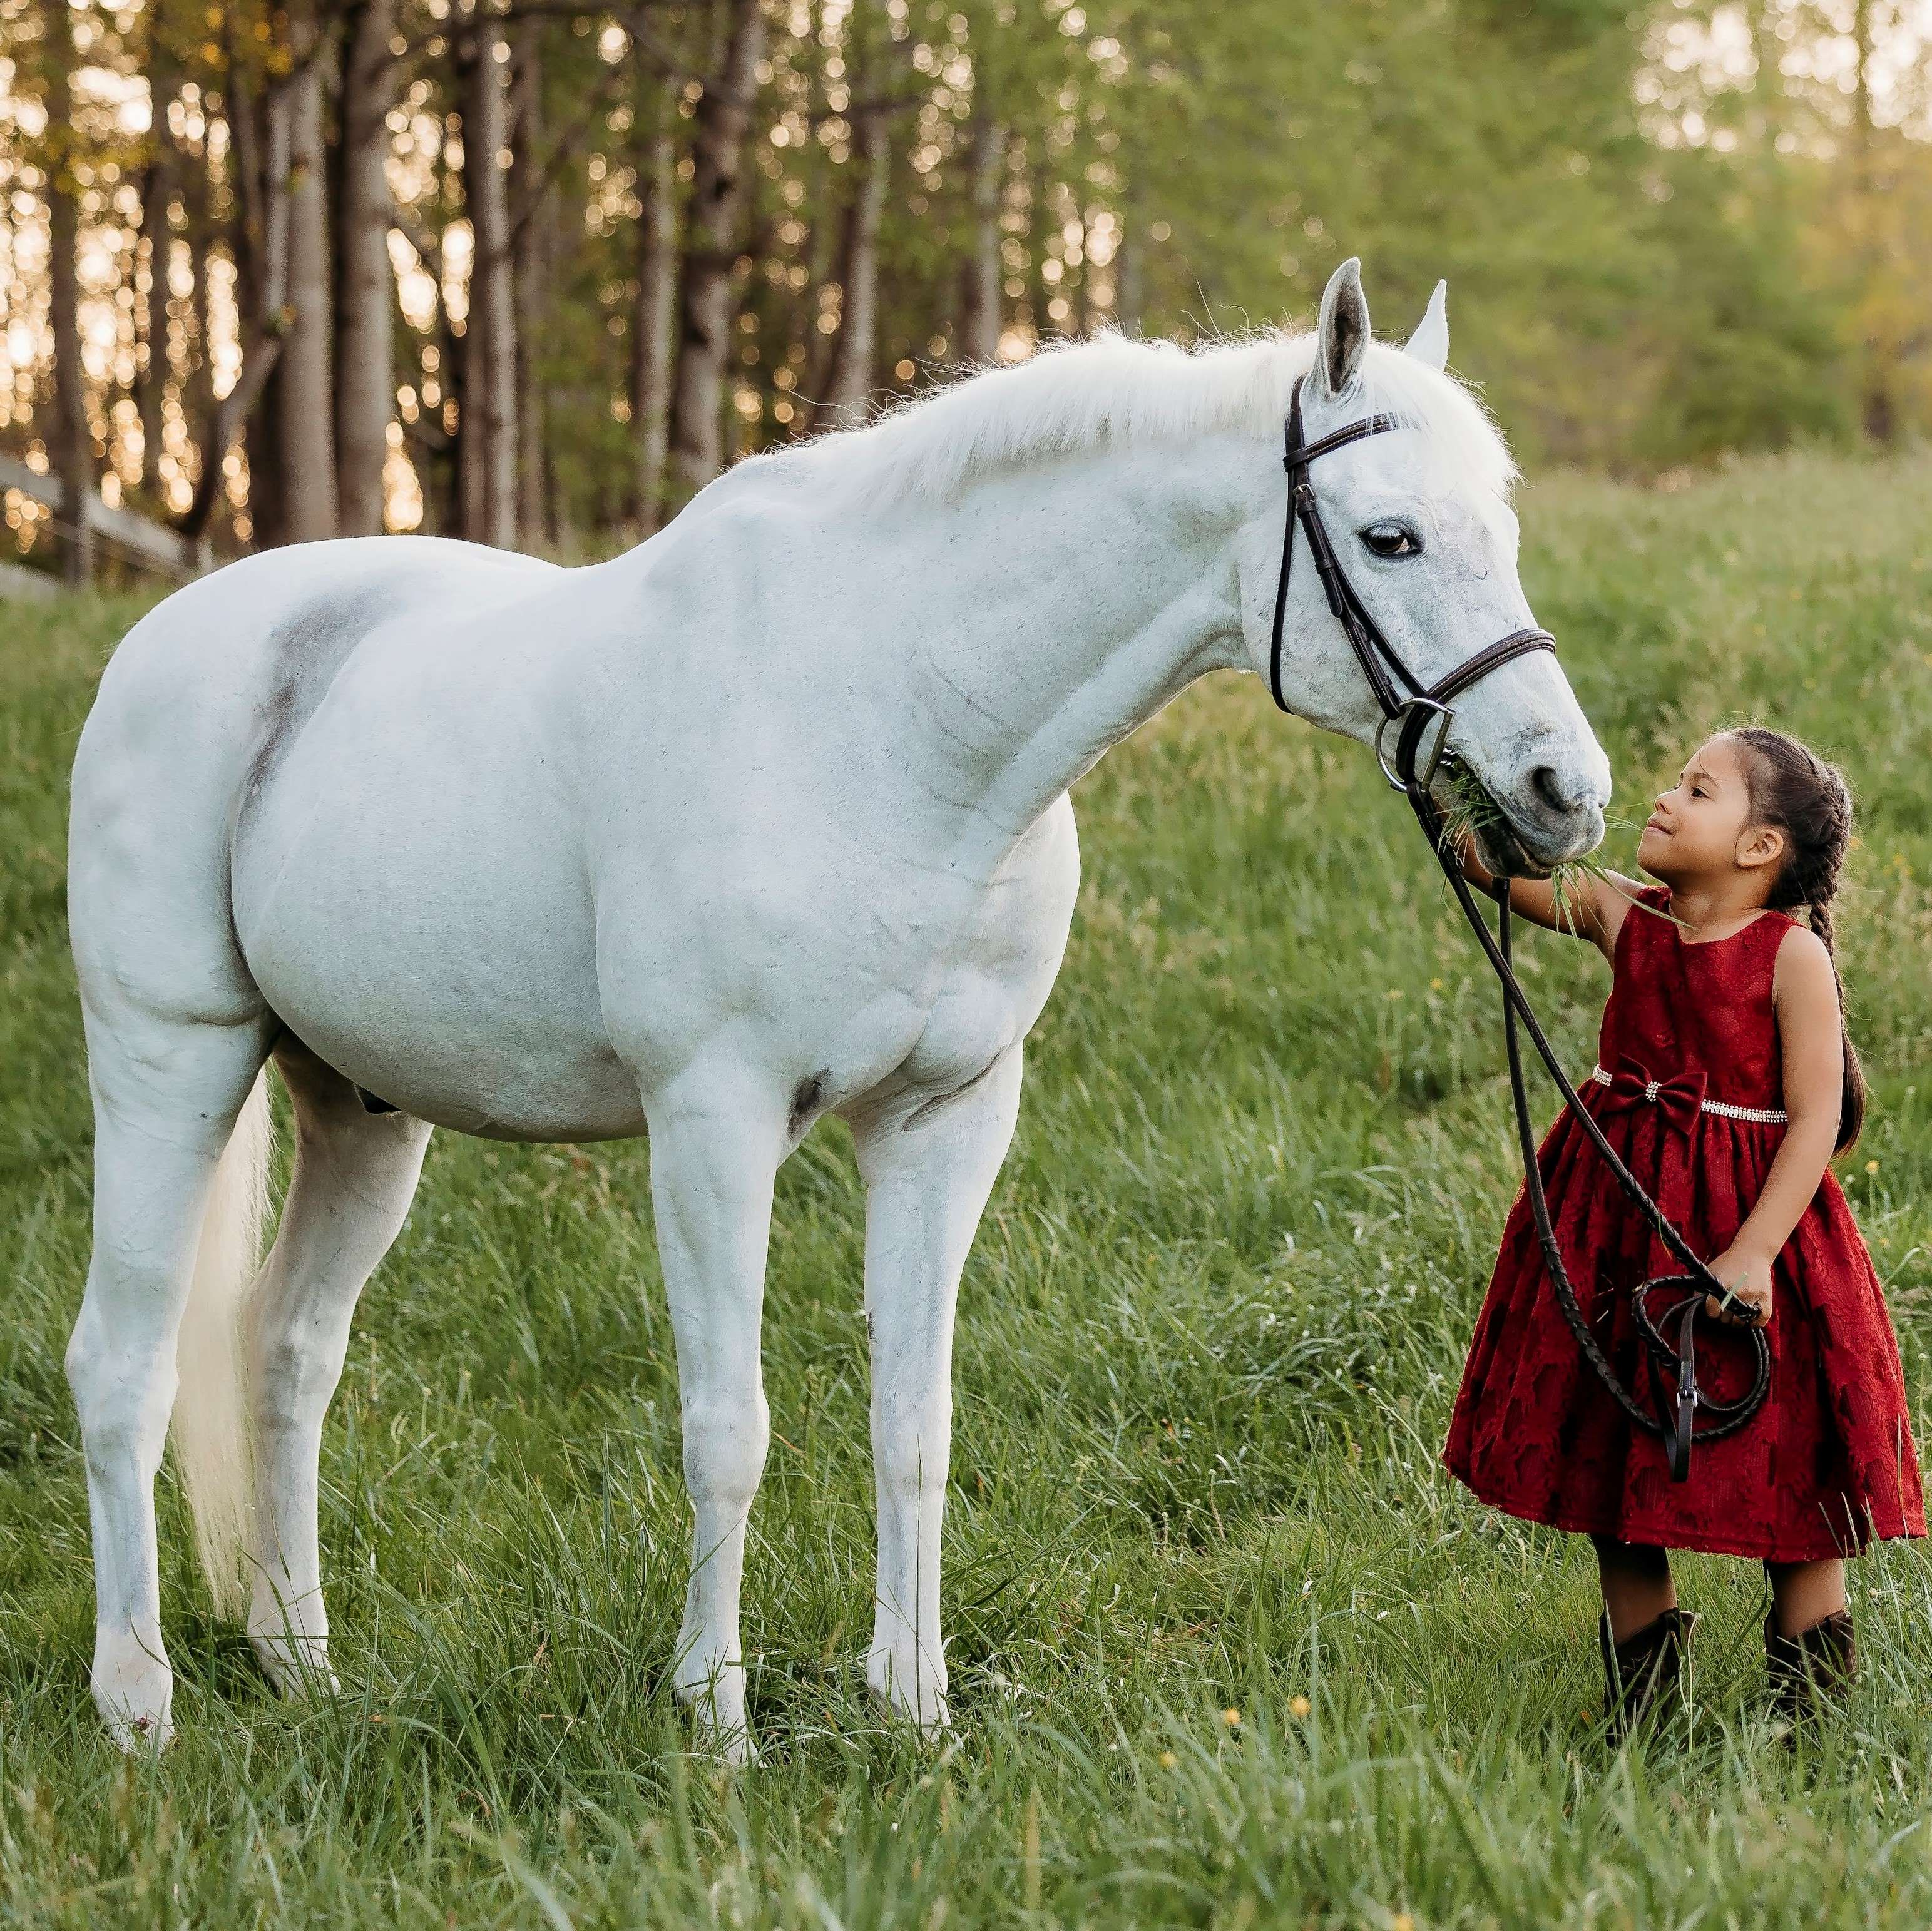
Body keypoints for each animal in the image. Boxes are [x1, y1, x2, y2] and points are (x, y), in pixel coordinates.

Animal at [68, 253, 1607, 1753]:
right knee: (124, 1364)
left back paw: (302, 1666)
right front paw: (715, 1720)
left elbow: (912, 1423)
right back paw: (139, 1704)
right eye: (1390, 539)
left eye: (1501, 527)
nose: (1563, 789)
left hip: (362, 1108)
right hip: (171, 1068)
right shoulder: (712, 1121)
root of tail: (174, 636)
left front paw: (912, 1709)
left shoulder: (945, 1120)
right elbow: (725, 1429)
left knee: (286, 1350)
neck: (895, 720)